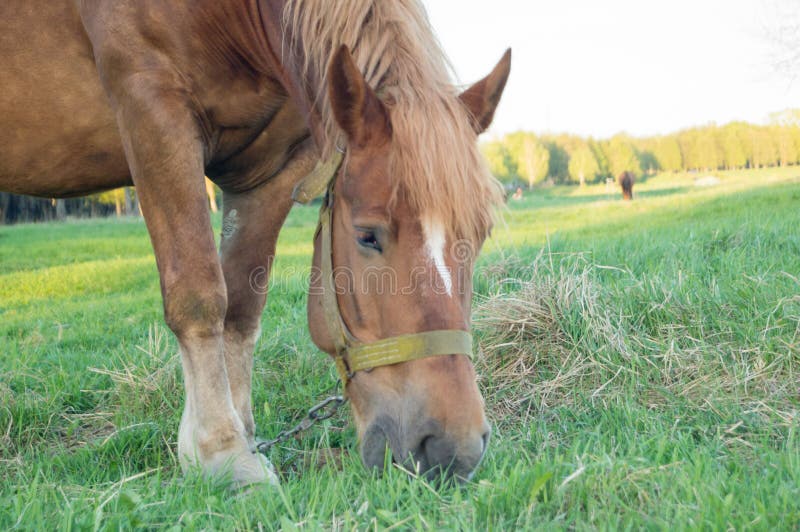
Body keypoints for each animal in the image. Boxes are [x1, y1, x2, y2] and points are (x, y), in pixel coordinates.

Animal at [0, 0, 510, 487]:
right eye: (367, 235)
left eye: (480, 234)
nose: (454, 447)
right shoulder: (152, 110)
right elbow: (200, 294)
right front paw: (222, 453)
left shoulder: (273, 164)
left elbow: (242, 305)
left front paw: (235, 440)